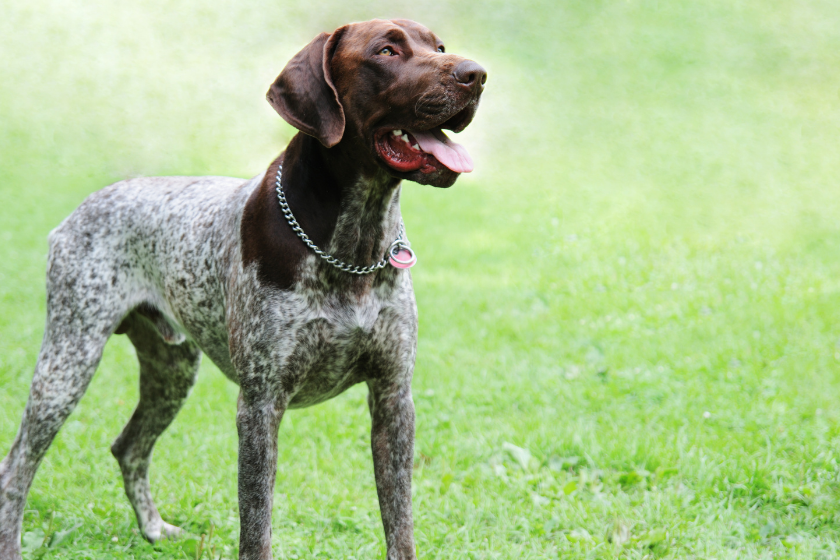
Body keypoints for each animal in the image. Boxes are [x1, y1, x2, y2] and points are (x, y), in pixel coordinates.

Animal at [0, 17, 486, 560]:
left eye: (438, 46)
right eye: (386, 51)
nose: (476, 74)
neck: (353, 246)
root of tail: (82, 208)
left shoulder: (393, 398)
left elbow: (399, 525)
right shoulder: (259, 405)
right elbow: (256, 526)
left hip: (171, 369)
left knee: (128, 447)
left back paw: (153, 529)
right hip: (68, 361)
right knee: (17, 466)